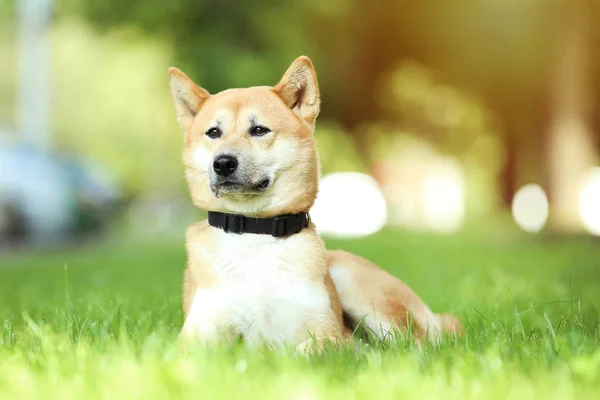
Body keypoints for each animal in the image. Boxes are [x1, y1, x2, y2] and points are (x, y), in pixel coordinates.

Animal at [169, 55, 464, 354]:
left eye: (259, 130)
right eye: (213, 132)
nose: (223, 163)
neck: (254, 230)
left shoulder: (328, 334)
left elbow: (306, 350)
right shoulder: (198, 336)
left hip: (355, 283)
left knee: (416, 345)